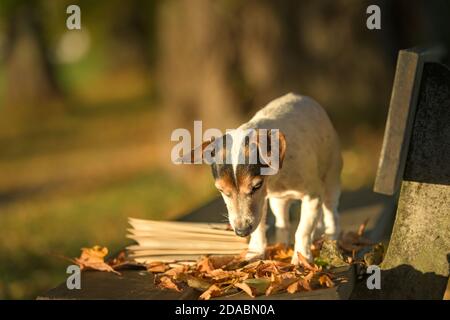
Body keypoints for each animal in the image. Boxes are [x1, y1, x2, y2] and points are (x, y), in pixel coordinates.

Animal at [179, 92, 342, 262]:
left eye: (256, 186)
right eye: (221, 190)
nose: (241, 232)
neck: (275, 178)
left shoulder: (313, 197)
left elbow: (303, 230)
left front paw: (301, 257)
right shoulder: (261, 202)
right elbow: (259, 228)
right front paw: (256, 251)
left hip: (331, 181)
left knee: (331, 212)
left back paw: (331, 237)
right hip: (278, 201)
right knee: (282, 221)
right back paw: (281, 244)